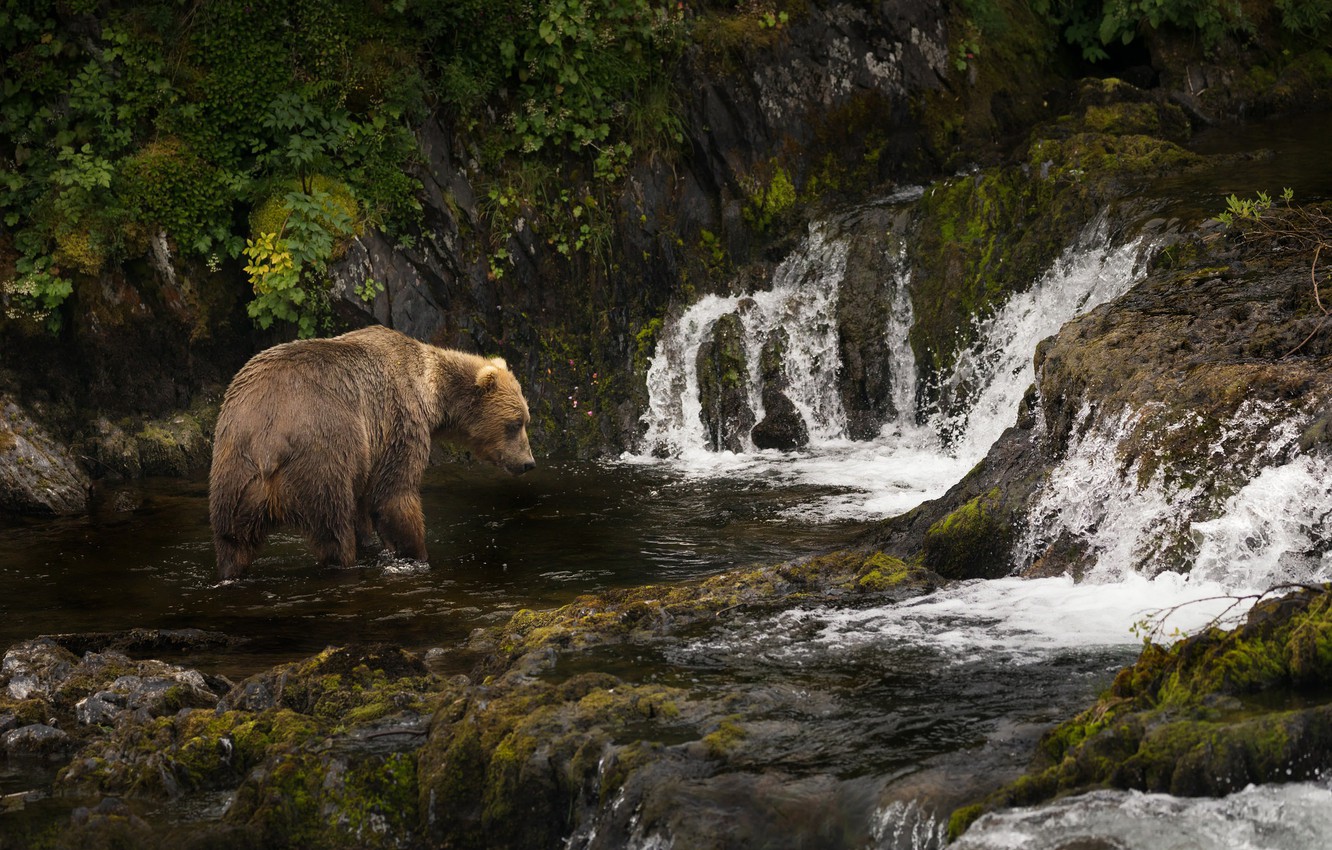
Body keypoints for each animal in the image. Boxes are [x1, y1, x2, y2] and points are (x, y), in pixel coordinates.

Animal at [208, 325, 534, 580]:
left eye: (525, 419)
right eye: (514, 423)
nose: (528, 463)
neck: (432, 393)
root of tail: (268, 443)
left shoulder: (369, 452)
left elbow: (364, 507)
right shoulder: (399, 420)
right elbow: (394, 495)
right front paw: (416, 554)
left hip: (234, 471)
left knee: (232, 540)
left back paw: (230, 571)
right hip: (322, 457)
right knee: (333, 531)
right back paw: (343, 564)